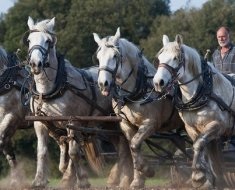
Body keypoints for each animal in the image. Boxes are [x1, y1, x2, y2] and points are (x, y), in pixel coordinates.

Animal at [26, 17, 132, 189]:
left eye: (48, 41)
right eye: (29, 40)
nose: (36, 64)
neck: (50, 90)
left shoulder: (73, 122)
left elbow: (74, 152)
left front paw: (81, 180)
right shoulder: (40, 123)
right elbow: (42, 152)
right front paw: (39, 181)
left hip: (113, 123)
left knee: (124, 146)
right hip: (107, 124)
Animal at [92, 27, 185, 189]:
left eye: (115, 56)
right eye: (98, 57)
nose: (103, 84)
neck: (138, 91)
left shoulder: (150, 123)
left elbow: (135, 145)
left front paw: (147, 170)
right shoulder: (126, 125)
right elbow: (133, 149)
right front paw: (137, 180)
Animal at [153, 34, 235, 189]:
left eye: (176, 58)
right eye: (159, 59)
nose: (158, 82)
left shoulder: (217, 125)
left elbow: (198, 145)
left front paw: (198, 176)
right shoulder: (192, 128)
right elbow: (203, 150)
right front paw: (208, 179)